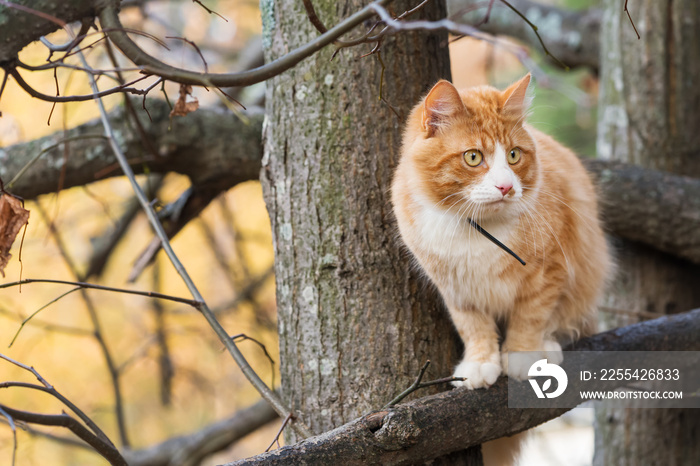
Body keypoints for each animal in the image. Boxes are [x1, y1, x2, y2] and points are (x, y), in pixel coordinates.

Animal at [392, 73, 608, 390]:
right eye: (473, 157)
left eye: (514, 155)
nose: (506, 186)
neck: (478, 229)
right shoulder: (457, 289)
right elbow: (474, 327)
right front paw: (480, 363)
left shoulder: (549, 271)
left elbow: (530, 317)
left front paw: (522, 355)